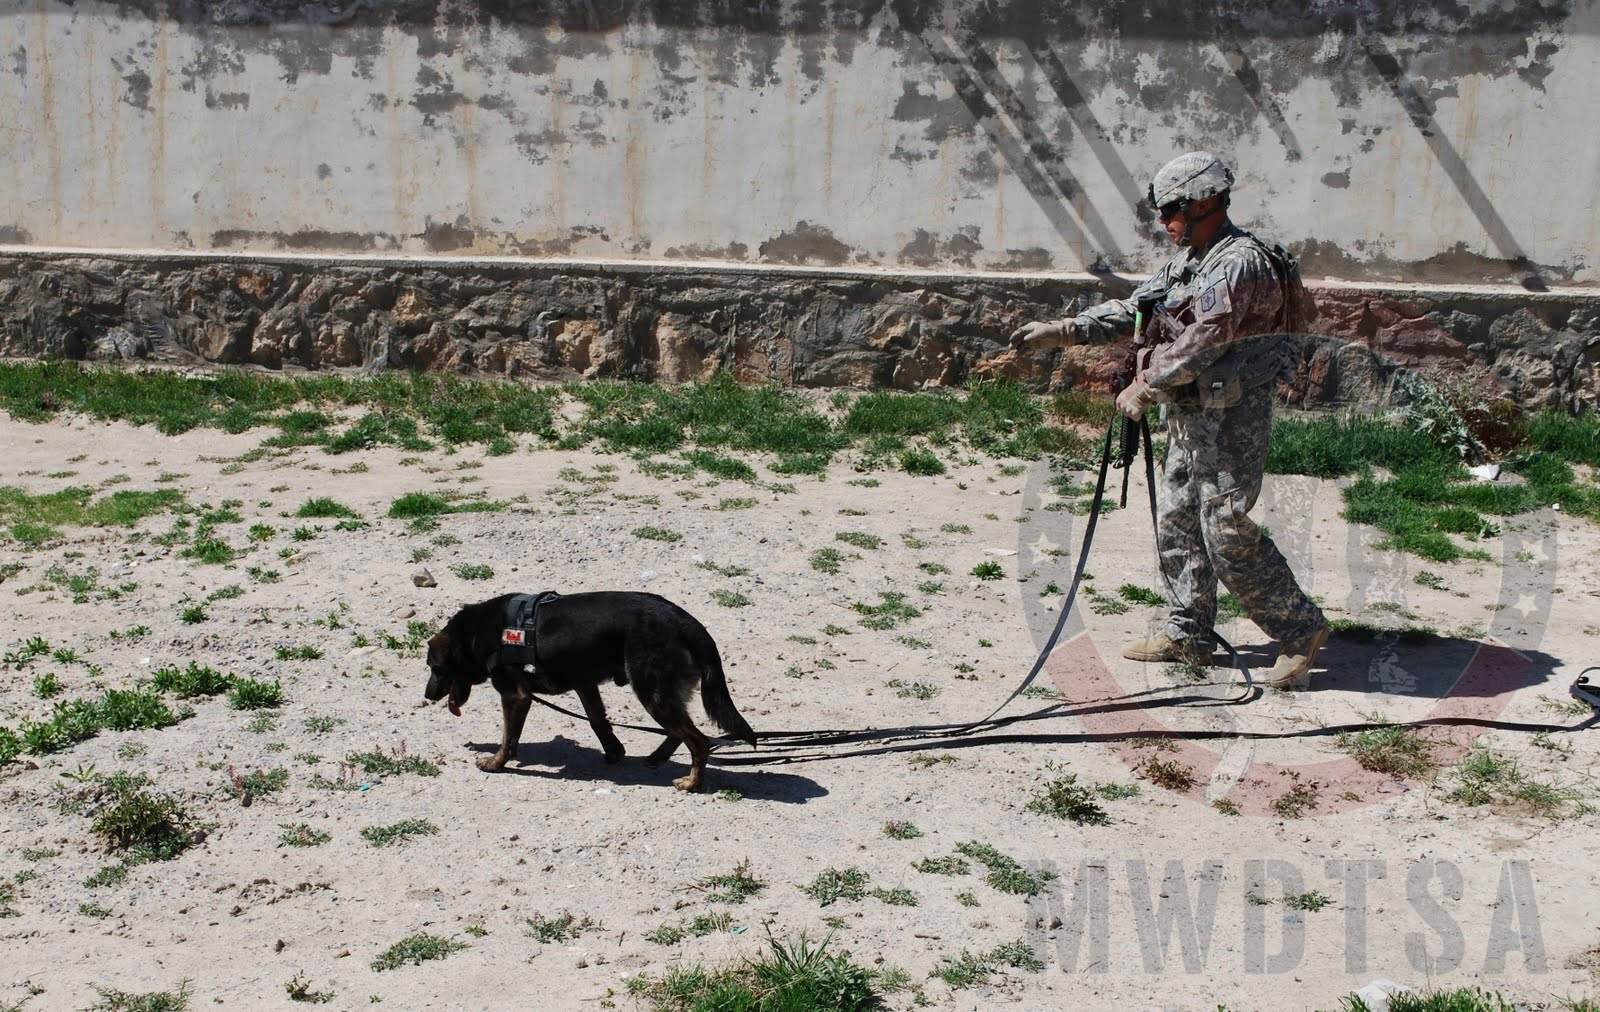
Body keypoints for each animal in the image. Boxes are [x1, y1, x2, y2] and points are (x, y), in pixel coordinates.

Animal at [422, 592, 752, 791]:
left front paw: (496, 762)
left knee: (698, 740)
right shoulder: (584, 684)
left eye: (435, 668)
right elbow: (598, 721)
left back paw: (692, 783)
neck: (476, 634)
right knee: (679, 731)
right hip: (660, 694)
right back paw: (658, 757)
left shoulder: (515, 695)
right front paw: (614, 752)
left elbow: (508, 736)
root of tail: (686, 621)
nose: (427, 695)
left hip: (651, 690)